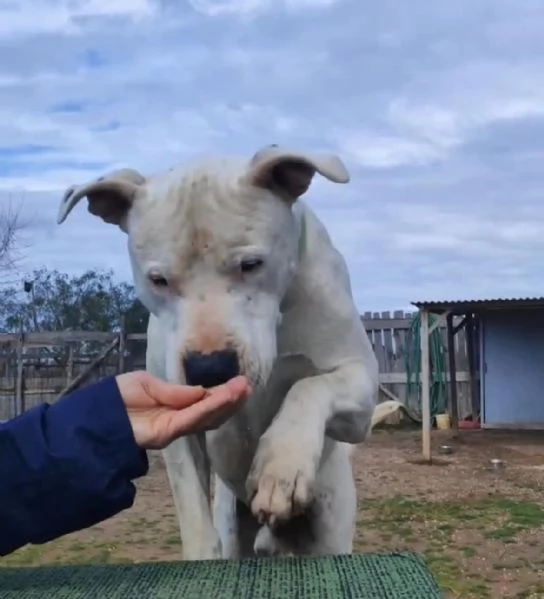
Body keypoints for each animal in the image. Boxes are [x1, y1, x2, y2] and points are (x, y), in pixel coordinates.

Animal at [55, 145, 378, 564]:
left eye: (252, 264)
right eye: (158, 280)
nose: (209, 368)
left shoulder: (360, 386)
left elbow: (310, 386)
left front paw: (282, 465)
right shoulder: (179, 431)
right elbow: (193, 509)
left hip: (332, 526)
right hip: (232, 518)